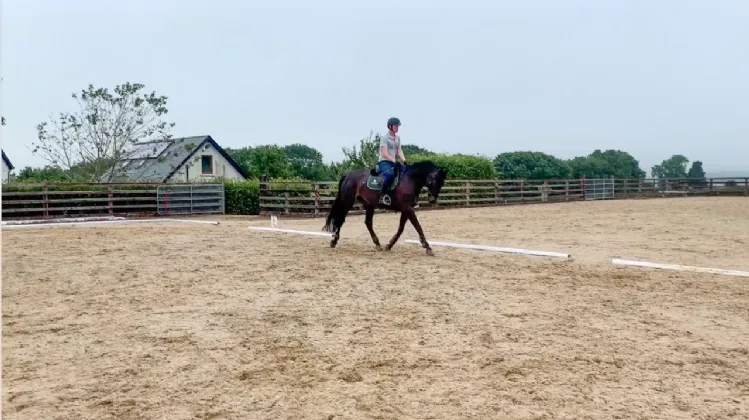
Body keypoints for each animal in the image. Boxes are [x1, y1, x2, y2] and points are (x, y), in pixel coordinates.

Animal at [320, 159, 448, 254]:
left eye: (442, 183)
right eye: (434, 180)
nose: (432, 200)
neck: (409, 180)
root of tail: (348, 175)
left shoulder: (406, 209)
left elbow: (401, 229)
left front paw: (389, 245)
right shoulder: (407, 208)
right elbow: (417, 226)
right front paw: (427, 247)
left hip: (369, 204)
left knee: (368, 223)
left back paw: (378, 244)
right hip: (347, 202)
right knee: (341, 219)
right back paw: (334, 241)